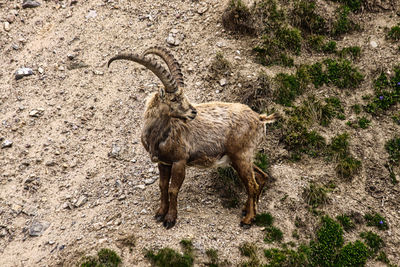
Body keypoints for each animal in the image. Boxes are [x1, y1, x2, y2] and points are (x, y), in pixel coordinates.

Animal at [108, 47, 276, 229]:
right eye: (174, 98)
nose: (193, 112)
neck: (161, 135)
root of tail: (260, 119)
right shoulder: (163, 162)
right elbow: (162, 186)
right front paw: (160, 213)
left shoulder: (179, 161)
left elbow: (173, 189)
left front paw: (170, 219)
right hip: (239, 158)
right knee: (261, 177)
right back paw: (247, 210)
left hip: (241, 156)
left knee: (252, 184)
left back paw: (248, 220)